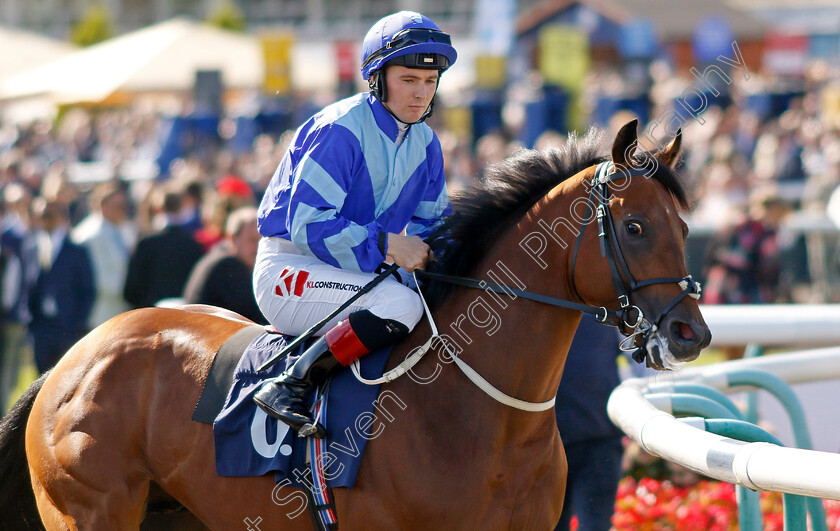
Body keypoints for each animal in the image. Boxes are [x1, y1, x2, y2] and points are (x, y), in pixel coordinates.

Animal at [0, 121, 708, 531]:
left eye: (684, 226)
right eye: (635, 227)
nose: (690, 334)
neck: (482, 417)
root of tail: (68, 362)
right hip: (90, 510)